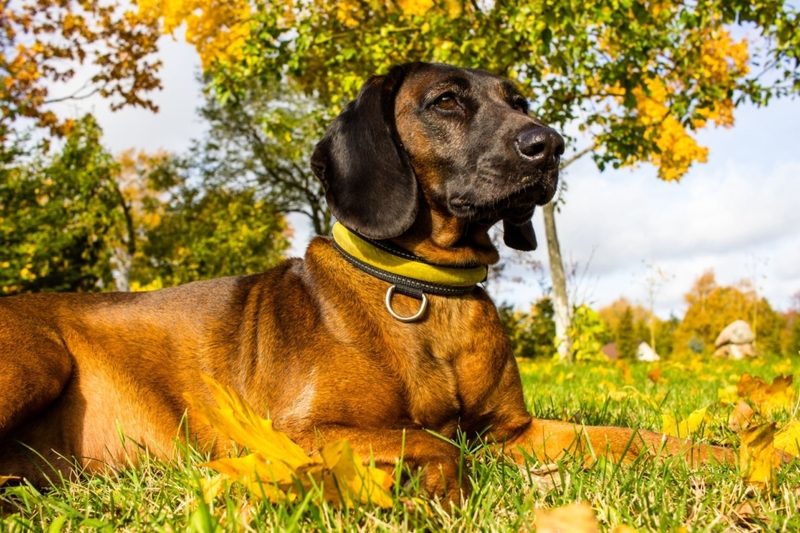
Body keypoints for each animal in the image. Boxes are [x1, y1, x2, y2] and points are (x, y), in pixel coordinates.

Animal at [0, 62, 728, 498]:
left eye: (519, 101)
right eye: (446, 102)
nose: (548, 143)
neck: (429, 291)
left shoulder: (512, 431)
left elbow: (631, 438)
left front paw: (731, 453)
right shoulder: (294, 430)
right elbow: (433, 442)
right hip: (35, 359)